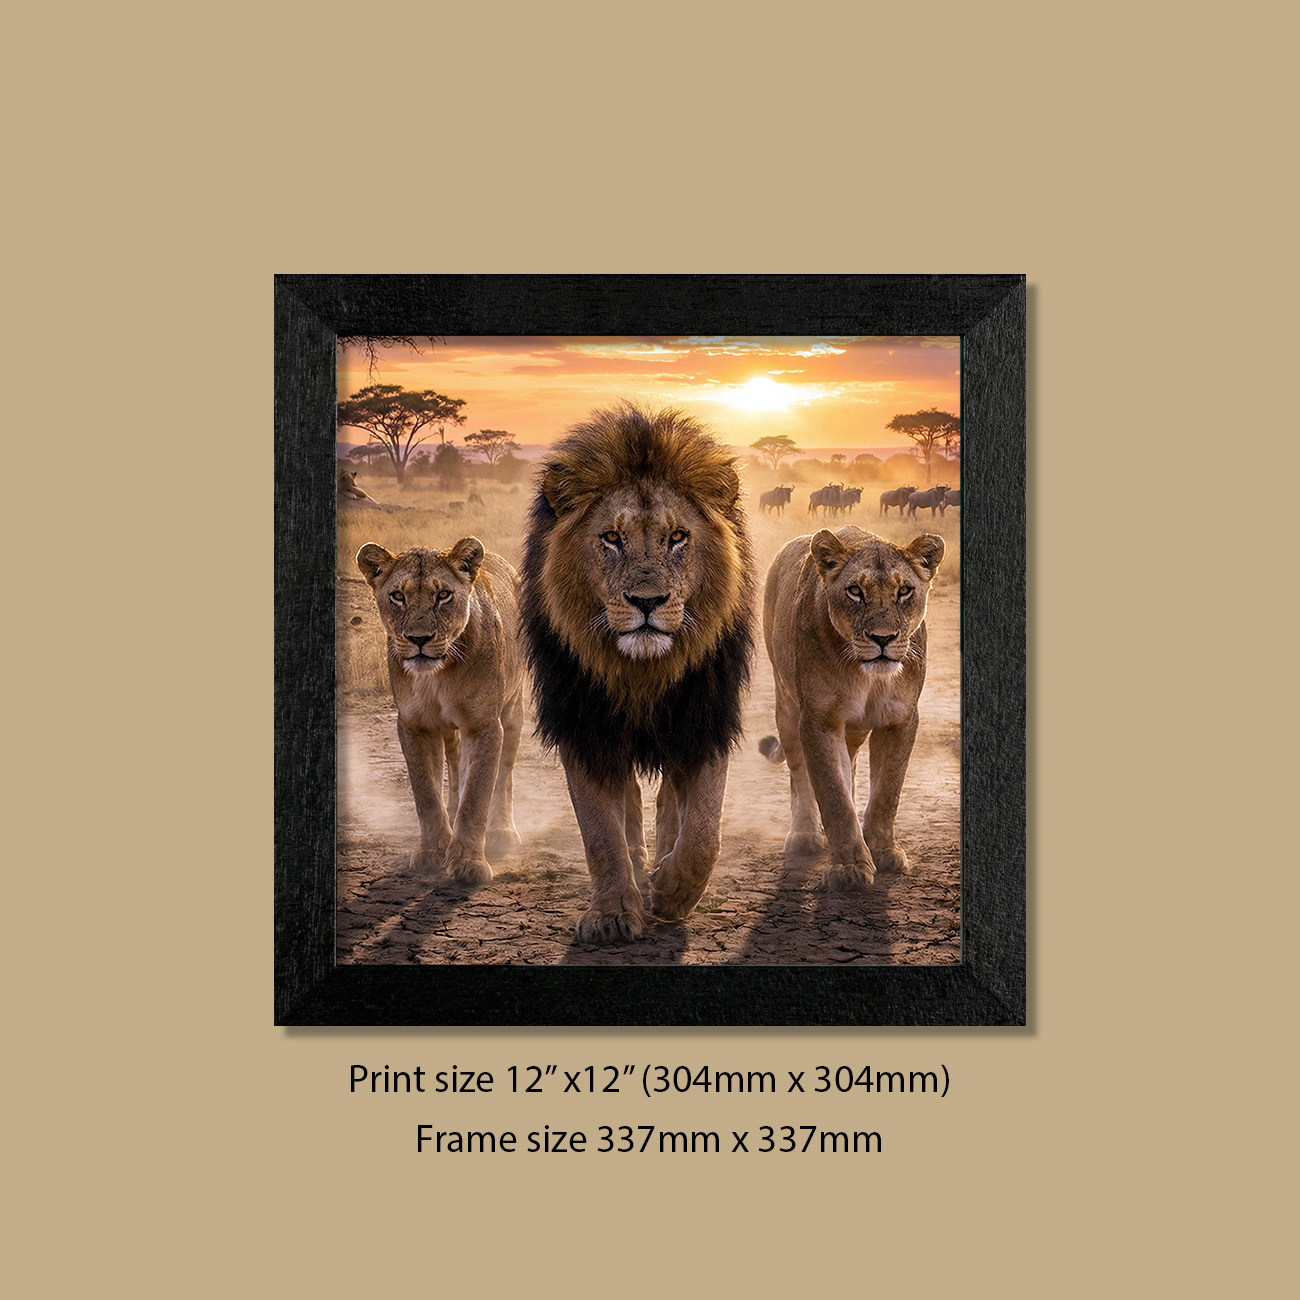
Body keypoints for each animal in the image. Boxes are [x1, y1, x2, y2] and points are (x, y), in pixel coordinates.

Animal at [356, 536, 524, 885]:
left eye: (443, 595)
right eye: (398, 596)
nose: (419, 639)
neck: (438, 676)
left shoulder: (484, 725)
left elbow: (477, 795)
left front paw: (468, 863)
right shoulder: (414, 725)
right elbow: (427, 794)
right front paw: (433, 851)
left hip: (513, 708)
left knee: (504, 773)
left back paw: (501, 831)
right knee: (455, 765)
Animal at [520, 403, 756, 942]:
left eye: (677, 537)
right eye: (611, 538)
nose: (647, 602)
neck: (642, 673)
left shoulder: (705, 717)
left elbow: (705, 829)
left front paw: (672, 892)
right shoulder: (585, 725)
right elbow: (600, 832)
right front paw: (612, 913)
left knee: (672, 801)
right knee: (626, 804)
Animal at [760, 524, 944, 891]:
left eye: (904, 591)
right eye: (855, 591)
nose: (883, 639)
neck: (866, 677)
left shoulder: (900, 719)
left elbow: (887, 791)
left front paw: (884, 851)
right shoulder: (819, 721)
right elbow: (833, 796)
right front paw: (849, 867)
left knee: (852, 768)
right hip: (786, 706)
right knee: (799, 775)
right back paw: (805, 833)